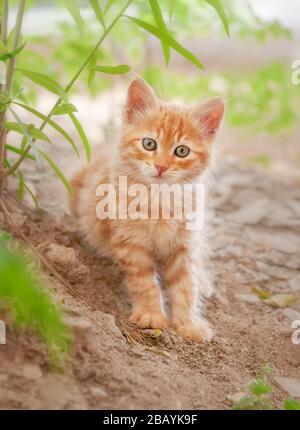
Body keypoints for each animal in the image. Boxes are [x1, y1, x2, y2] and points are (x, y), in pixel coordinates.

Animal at [71, 75, 224, 340]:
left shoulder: (184, 244)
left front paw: (189, 322)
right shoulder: (131, 243)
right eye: (149, 144)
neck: (158, 199)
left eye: (181, 151)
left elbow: (187, 286)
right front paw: (152, 315)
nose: (161, 166)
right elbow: (145, 284)